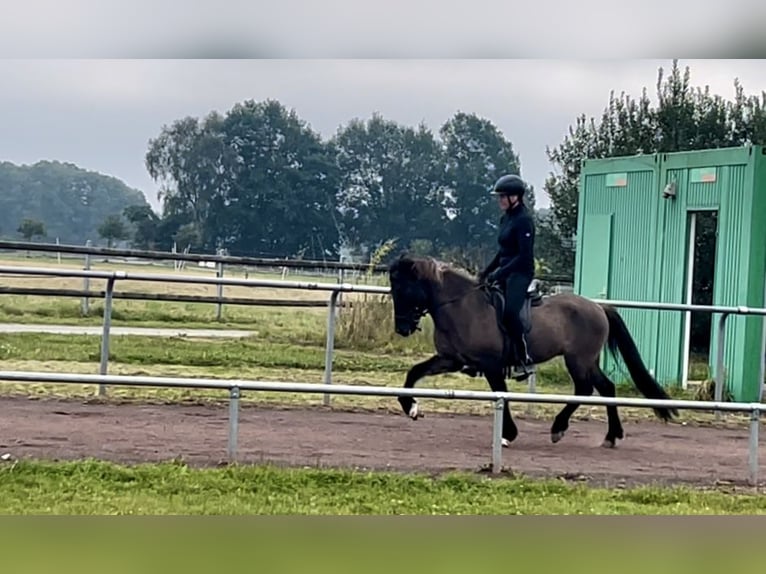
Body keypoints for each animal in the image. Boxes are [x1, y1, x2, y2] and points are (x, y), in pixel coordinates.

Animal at [388, 255, 680, 450]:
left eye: (403, 288)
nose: (401, 328)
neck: (462, 306)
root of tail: (598, 306)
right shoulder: (451, 360)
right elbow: (414, 372)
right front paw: (410, 407)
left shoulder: (491, 365)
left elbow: (500, 394)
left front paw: (508, 434)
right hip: (588, 361)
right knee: (606, 388)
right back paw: (610, 437)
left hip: (578, 360)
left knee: (585, 389)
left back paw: (558, 429)